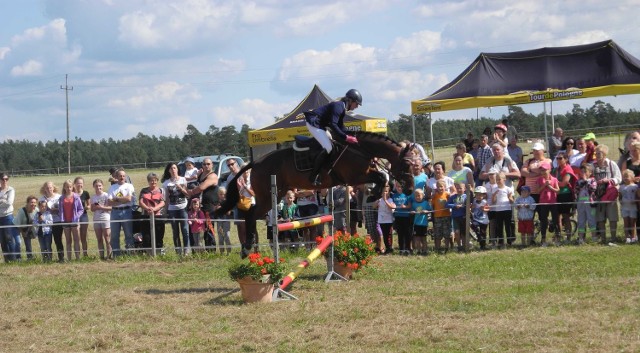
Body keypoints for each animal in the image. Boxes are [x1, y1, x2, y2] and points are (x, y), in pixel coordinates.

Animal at [215, 131, 416, 254]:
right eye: (407, 164)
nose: (410, 188)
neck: (360, 149)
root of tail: (255, 163)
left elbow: (383, 176)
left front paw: (375, 194)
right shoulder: (355, 176)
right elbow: (382, 176)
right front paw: (374, 194)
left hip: (277, 193)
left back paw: (248, 248)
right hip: (267, 196)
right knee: (250, 214)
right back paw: (247, 248)